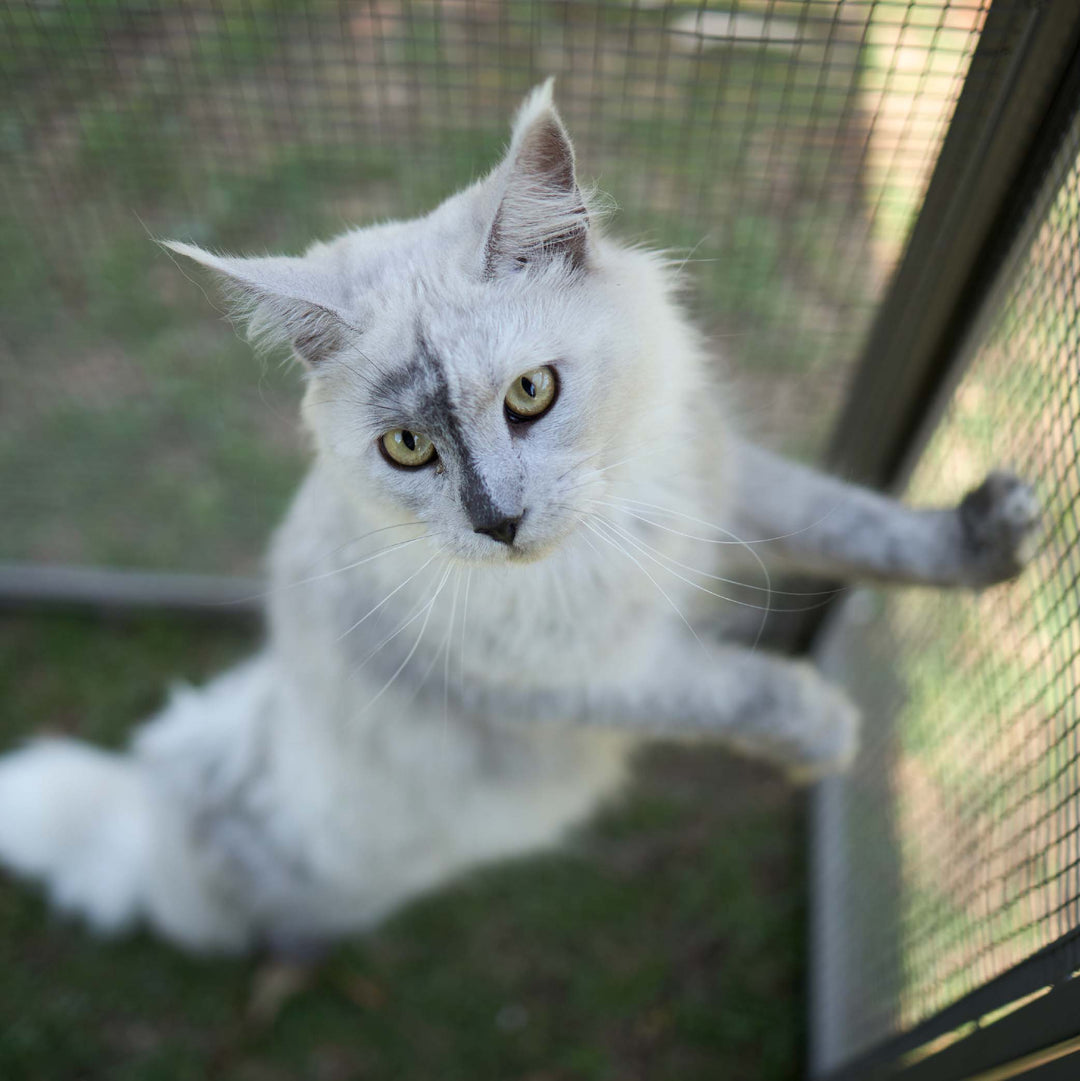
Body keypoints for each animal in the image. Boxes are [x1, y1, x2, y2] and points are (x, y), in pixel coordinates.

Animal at [0, 79, 1037, 951]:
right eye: (406, 448)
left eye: (531, 393)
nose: (496, 521)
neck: (619, 521)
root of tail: (170, 801)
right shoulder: (567, 673)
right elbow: (731, 690)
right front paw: (823, 733)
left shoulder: (725, 486)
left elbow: (856, 525)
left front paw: (990, 539)